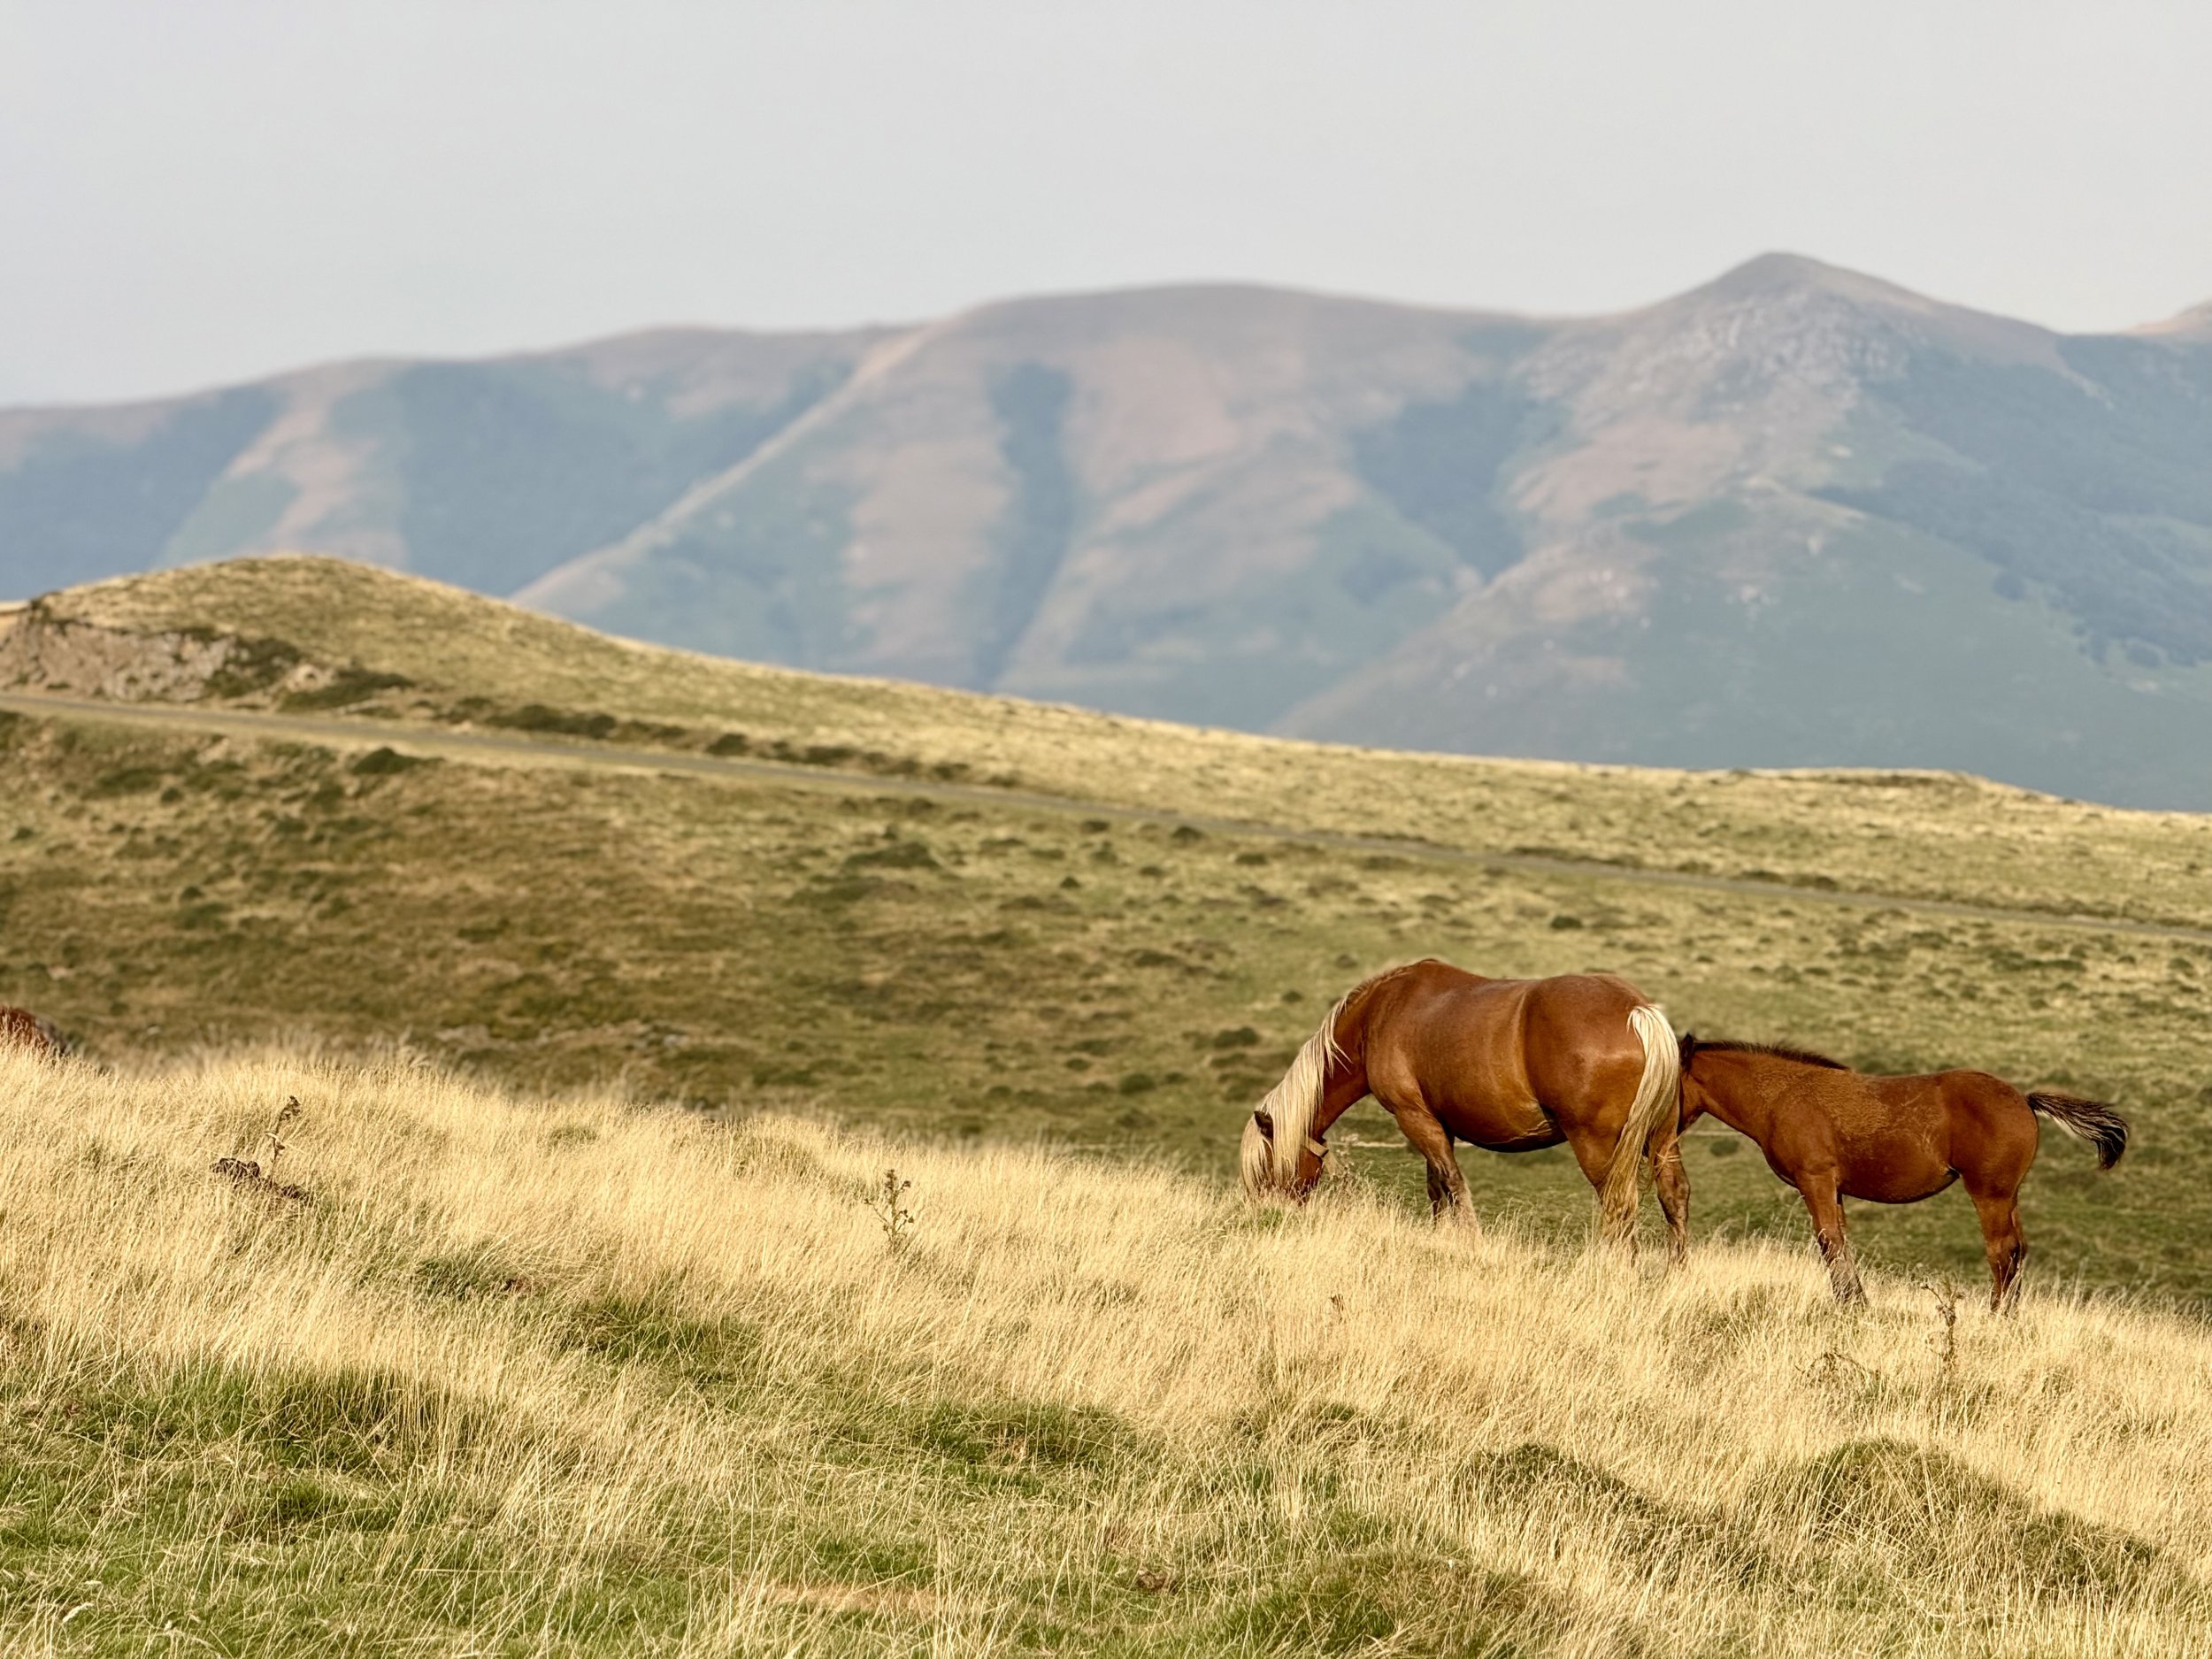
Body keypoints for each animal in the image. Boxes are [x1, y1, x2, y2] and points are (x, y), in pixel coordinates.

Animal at [1240, 960, 1684, 1254]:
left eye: (1264, 1168)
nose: (1267, 1217)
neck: (1380, 1014)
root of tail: (1636, 1011)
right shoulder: (1439, 1123)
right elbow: (1437, 1187)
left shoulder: (1414, 1118)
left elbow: (1453, 1184)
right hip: (1661, 1139)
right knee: (1674, 1195)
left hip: (1596, 1143)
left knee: (1618, 1205)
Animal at [1676, 1034, 2129, 1309]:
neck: (1783, 1096)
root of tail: (2023, 1099)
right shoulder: (1834, 1188)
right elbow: (1841, 1242)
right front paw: (1856, 1302)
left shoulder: (1815, 1180)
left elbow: (1828, 1241)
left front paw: (1850, 1306)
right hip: (2009, 1194)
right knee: (2018, 1249)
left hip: (1989, 1193)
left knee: (2001, 1250)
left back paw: (1996, 1316)